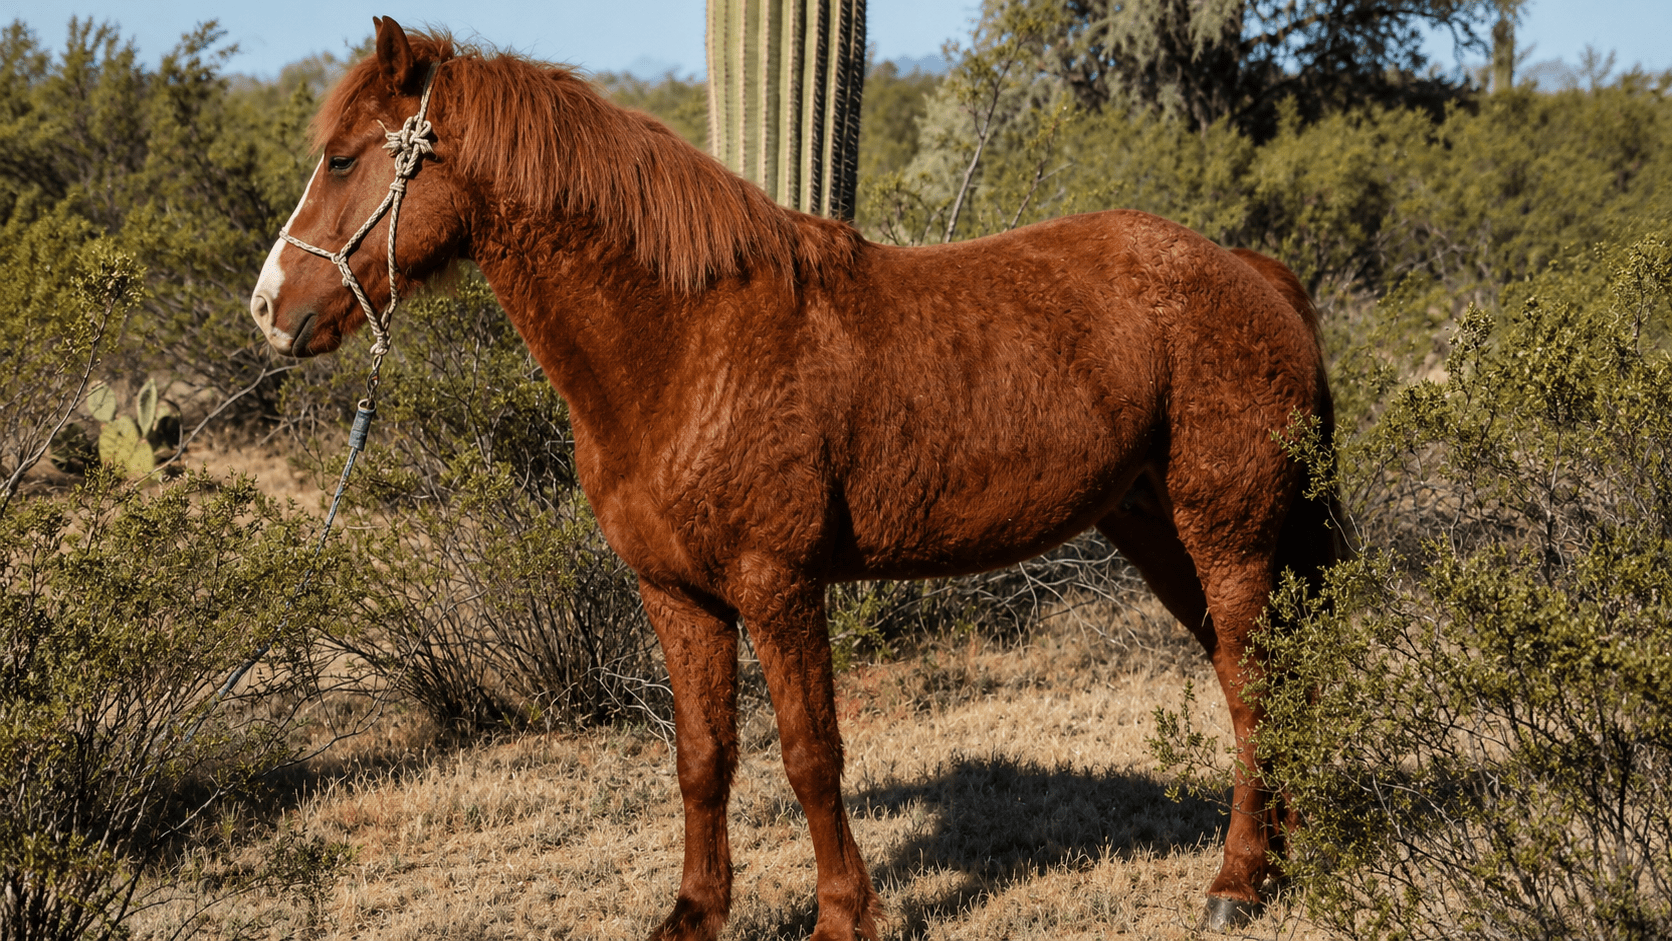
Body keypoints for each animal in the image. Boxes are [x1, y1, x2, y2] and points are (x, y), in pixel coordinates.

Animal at [249, 17, 1340, 939]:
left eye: (341, 157)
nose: (269, 308)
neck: (686, 341)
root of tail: (1249, 272)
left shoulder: (779, 587)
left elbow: (812, 755)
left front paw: (845, 915)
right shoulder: (678, 596)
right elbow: (703, 757)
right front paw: (694, 913)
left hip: (1228, 535)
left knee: (1251, 682)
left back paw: (1235, 882)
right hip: (1159, 530)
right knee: (1258, 673)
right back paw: (1282, 855)